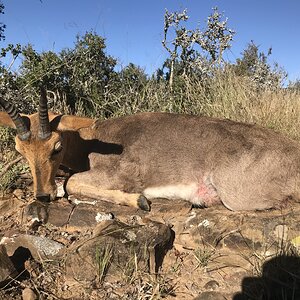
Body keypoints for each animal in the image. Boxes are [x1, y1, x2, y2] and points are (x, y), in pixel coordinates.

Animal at [0, 89, 300, 211]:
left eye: (57, 147)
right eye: (20, 150)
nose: (43, 195)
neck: (91, 140)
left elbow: (71, 183)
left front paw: (140, 201)